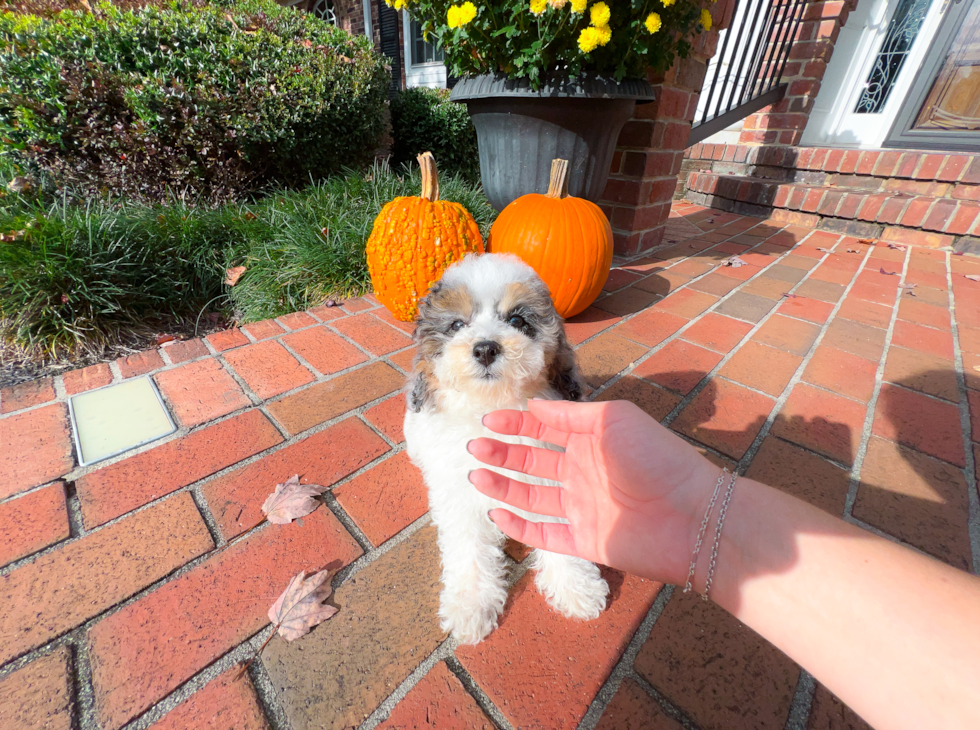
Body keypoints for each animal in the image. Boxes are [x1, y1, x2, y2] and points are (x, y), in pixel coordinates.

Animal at [404, 252, 604, 644]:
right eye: (456, 325)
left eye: (516, 320)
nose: (485, 347)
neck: (493, 407)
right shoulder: (460, 491)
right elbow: (467, 546)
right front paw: (469, 605)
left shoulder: (545, 471)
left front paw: (576, 585)